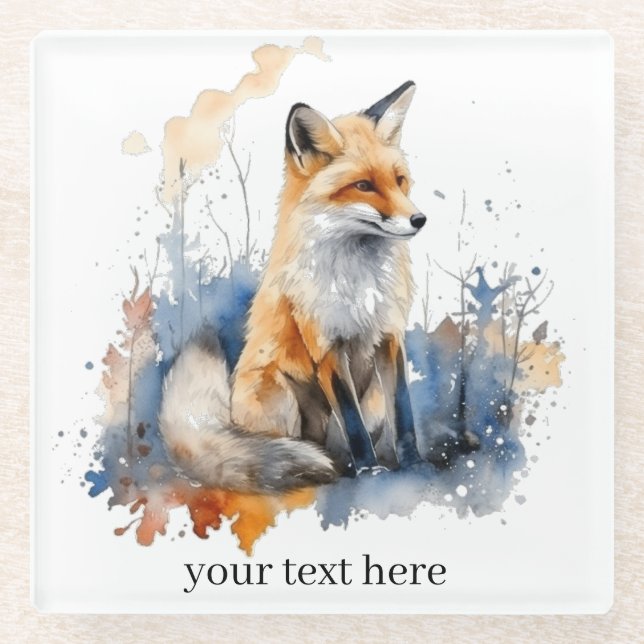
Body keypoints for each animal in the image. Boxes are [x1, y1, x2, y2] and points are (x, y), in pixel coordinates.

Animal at [159, 81, 427, 493]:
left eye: (399, 181)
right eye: (363, 186)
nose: (419, 220)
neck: (360, 283)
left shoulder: (390, 337)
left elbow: (404, 412)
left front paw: (413, 462)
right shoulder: (326, 346)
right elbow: (353, 425)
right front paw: (369, 471)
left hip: (372, 401)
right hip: (279, 397)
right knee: (290, 447)